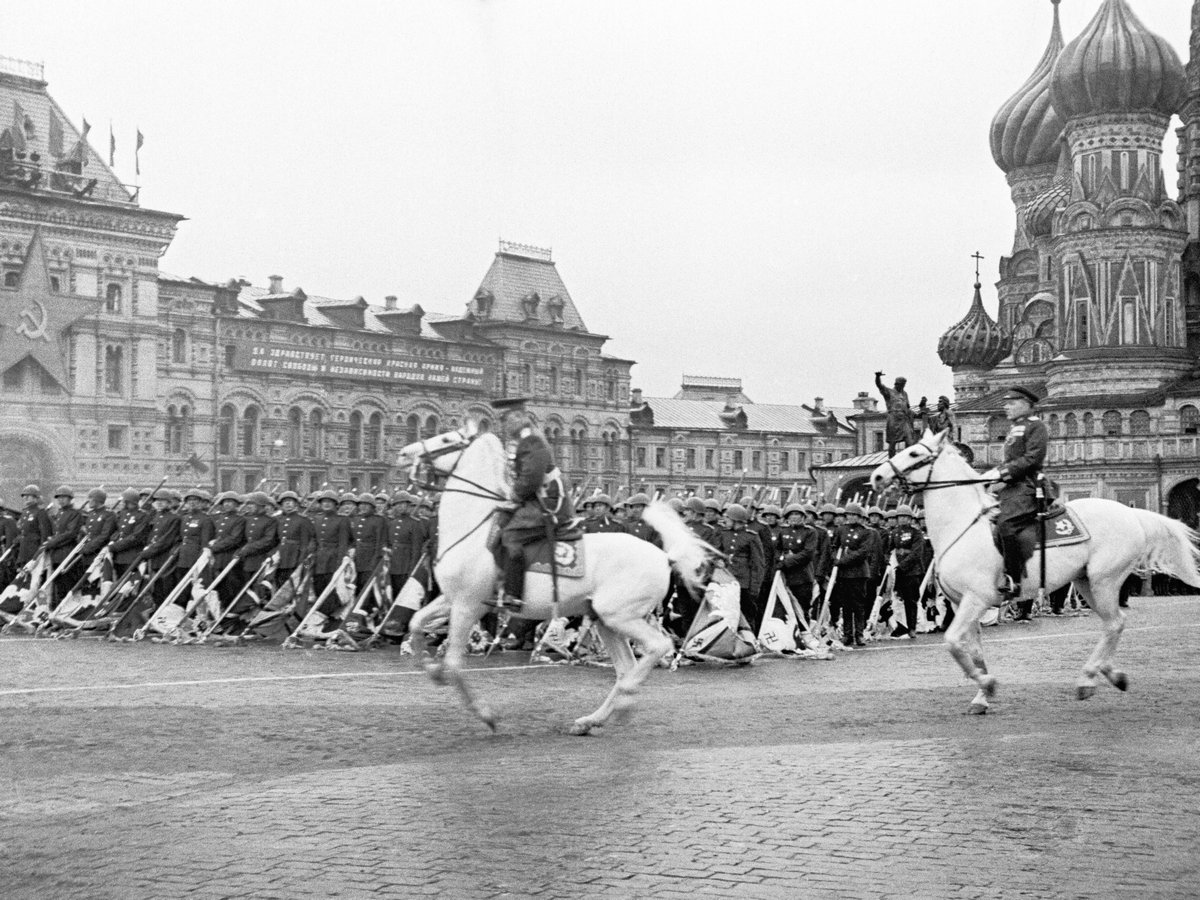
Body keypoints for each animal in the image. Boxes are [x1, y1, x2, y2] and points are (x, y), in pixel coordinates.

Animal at [393, 427, 710, 734]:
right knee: (625, 668)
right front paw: (430, 669)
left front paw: (486, 714)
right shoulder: (452, 599)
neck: (473, 531)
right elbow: (416, 622)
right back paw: (593, 719)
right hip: (605, 620)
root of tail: (664, 555)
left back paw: (624, 699)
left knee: (657, 647)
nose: (404, 453)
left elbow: (455, 665)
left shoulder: (468, 605)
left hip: (620, 616)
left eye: (446, 438)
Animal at [873, 429, 1200, 710]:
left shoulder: (976, 599)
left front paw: (987, 684)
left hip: (1104, 581)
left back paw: (1088, 678)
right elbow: (974, 651)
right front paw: (981, 696)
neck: (962, 526)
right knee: (1113, 623)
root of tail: (1131, 513)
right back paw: (1108, 674)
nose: (877, 475)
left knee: (1114, 623)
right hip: (1086, 583)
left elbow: (953, 642)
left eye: (915, 453)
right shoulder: (960, 602)